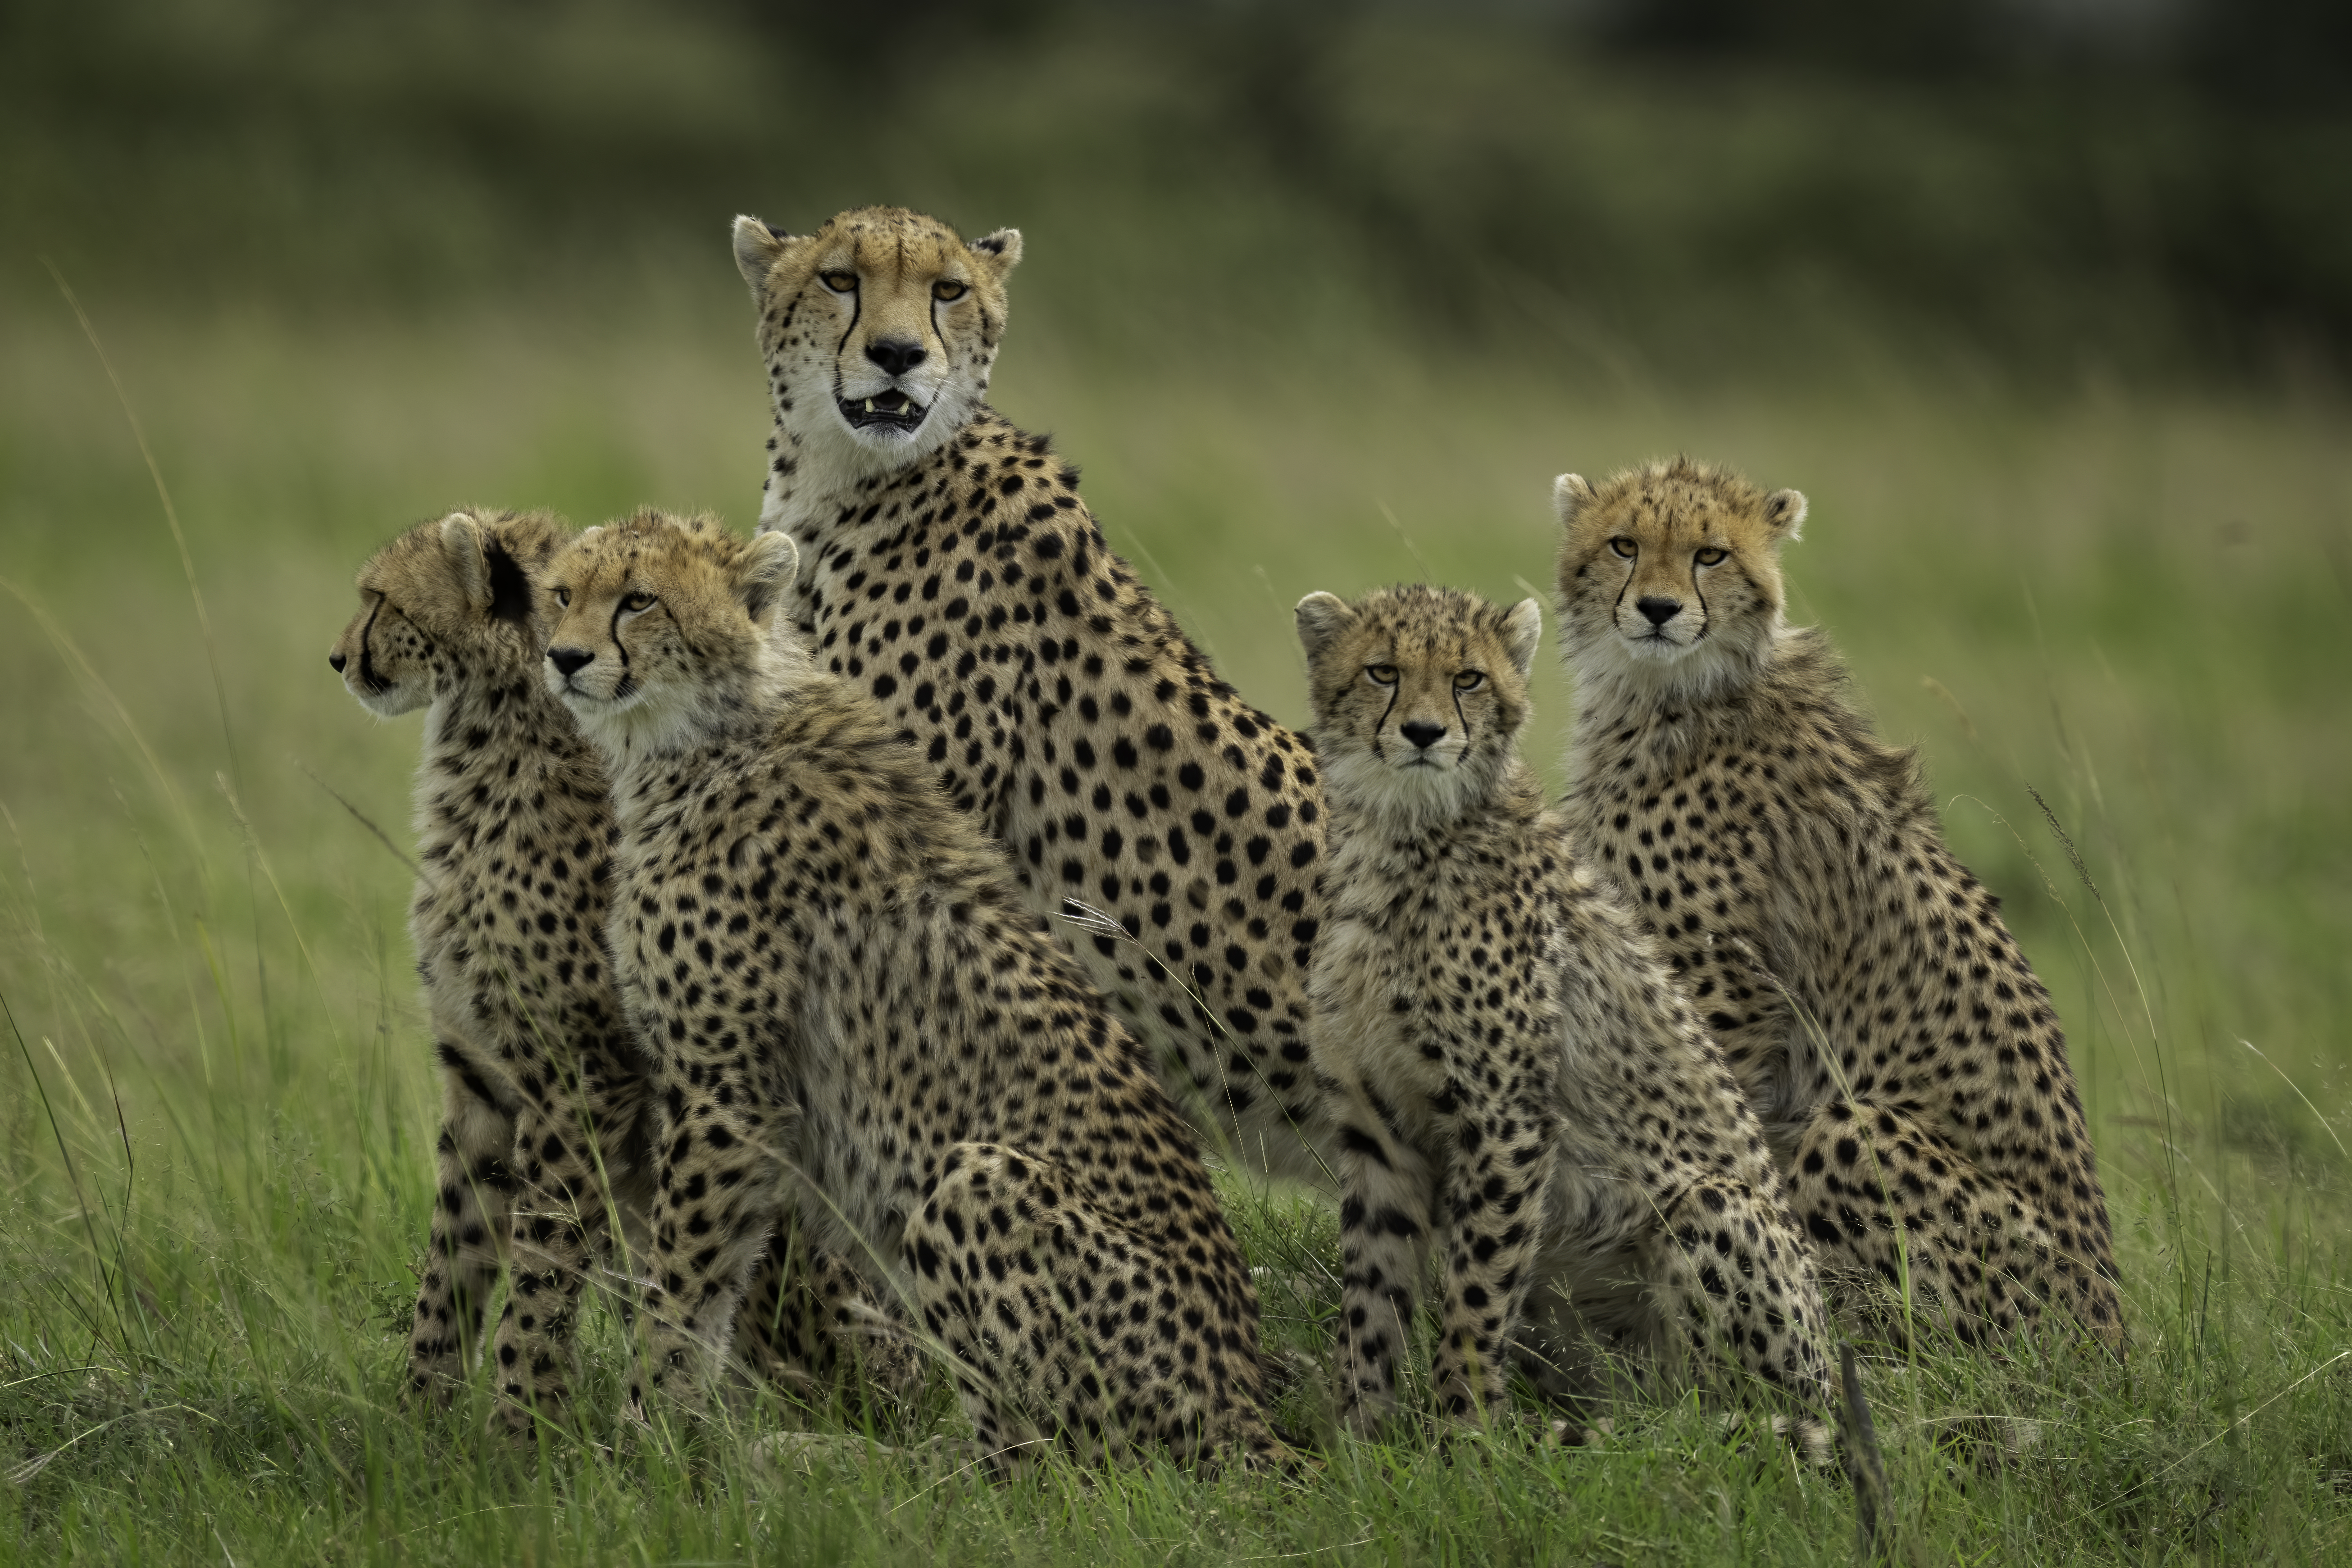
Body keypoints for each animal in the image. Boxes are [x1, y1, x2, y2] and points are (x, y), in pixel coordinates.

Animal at [329, 508, 907, 1436]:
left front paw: (520, 1430)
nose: (338, 657)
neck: (497, 729)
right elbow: (452, 1261)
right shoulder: (481, 1080)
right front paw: (421, 1422)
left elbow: (542, 1264)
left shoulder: (583, 1079)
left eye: (380, 600)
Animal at [538, 508, 1285, 1471]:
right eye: (562, 593)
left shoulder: (729, 1093)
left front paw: (645, 1441)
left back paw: (832, 1461)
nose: (562, 656)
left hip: (975, 1179)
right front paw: (677, 1434)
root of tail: (1243, 1401)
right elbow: (715, 1287)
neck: (700, 733)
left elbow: (682, 1287)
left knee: (1028, 1468)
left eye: (638, 600)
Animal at [1297, 583, 1835, 1445]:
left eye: (1468, 679)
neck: (1403, 834)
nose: (1424, 733)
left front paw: (1465, 1437)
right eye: (1382, 672)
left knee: (1732, 1414)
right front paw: (1360, 1439)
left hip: (1712, 1208)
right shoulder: (1377, 1128)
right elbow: (1370, 1300)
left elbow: (1475, 1295)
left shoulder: (1506, 1119)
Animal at [1552, 456, 2124, 1350]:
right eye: (1623, 545)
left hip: (1853, 1130)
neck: (1672, 691)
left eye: (1710, 554)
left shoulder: (1726, 994)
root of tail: (2115, 1336)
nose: (1658, 609)